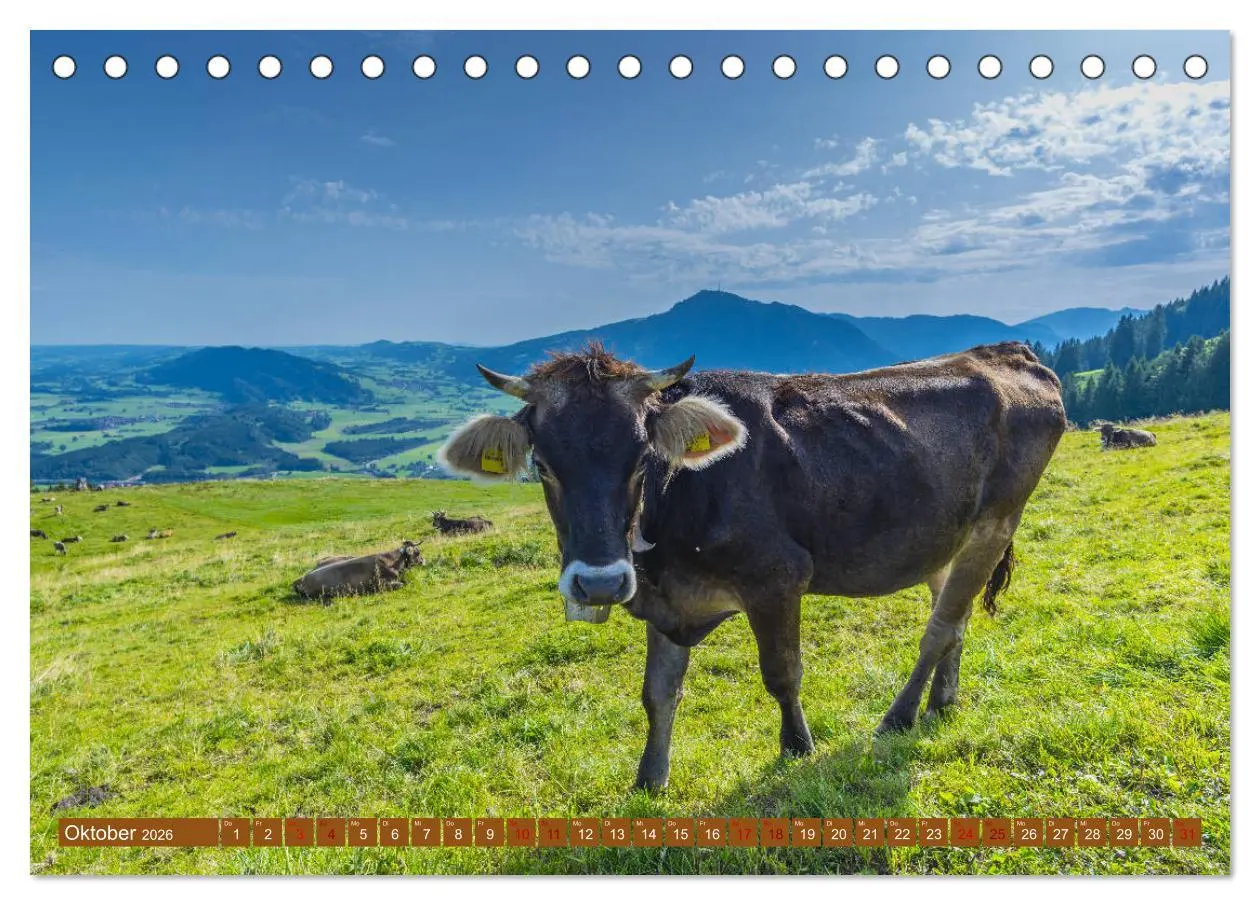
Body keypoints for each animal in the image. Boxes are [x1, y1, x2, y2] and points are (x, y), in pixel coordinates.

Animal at [439, 341, 1066, 790]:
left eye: (641, 458)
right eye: (542, 465)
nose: (599, 583)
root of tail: (1006, 351)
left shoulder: (777, 579)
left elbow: (781, 673)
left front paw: (797, 747)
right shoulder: (666, 598)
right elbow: (657, 693)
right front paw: (650, 778)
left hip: (997, 522)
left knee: (938, 629)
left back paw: (900, 716)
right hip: (946, 537)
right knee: (954, 618)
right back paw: (942, 702)